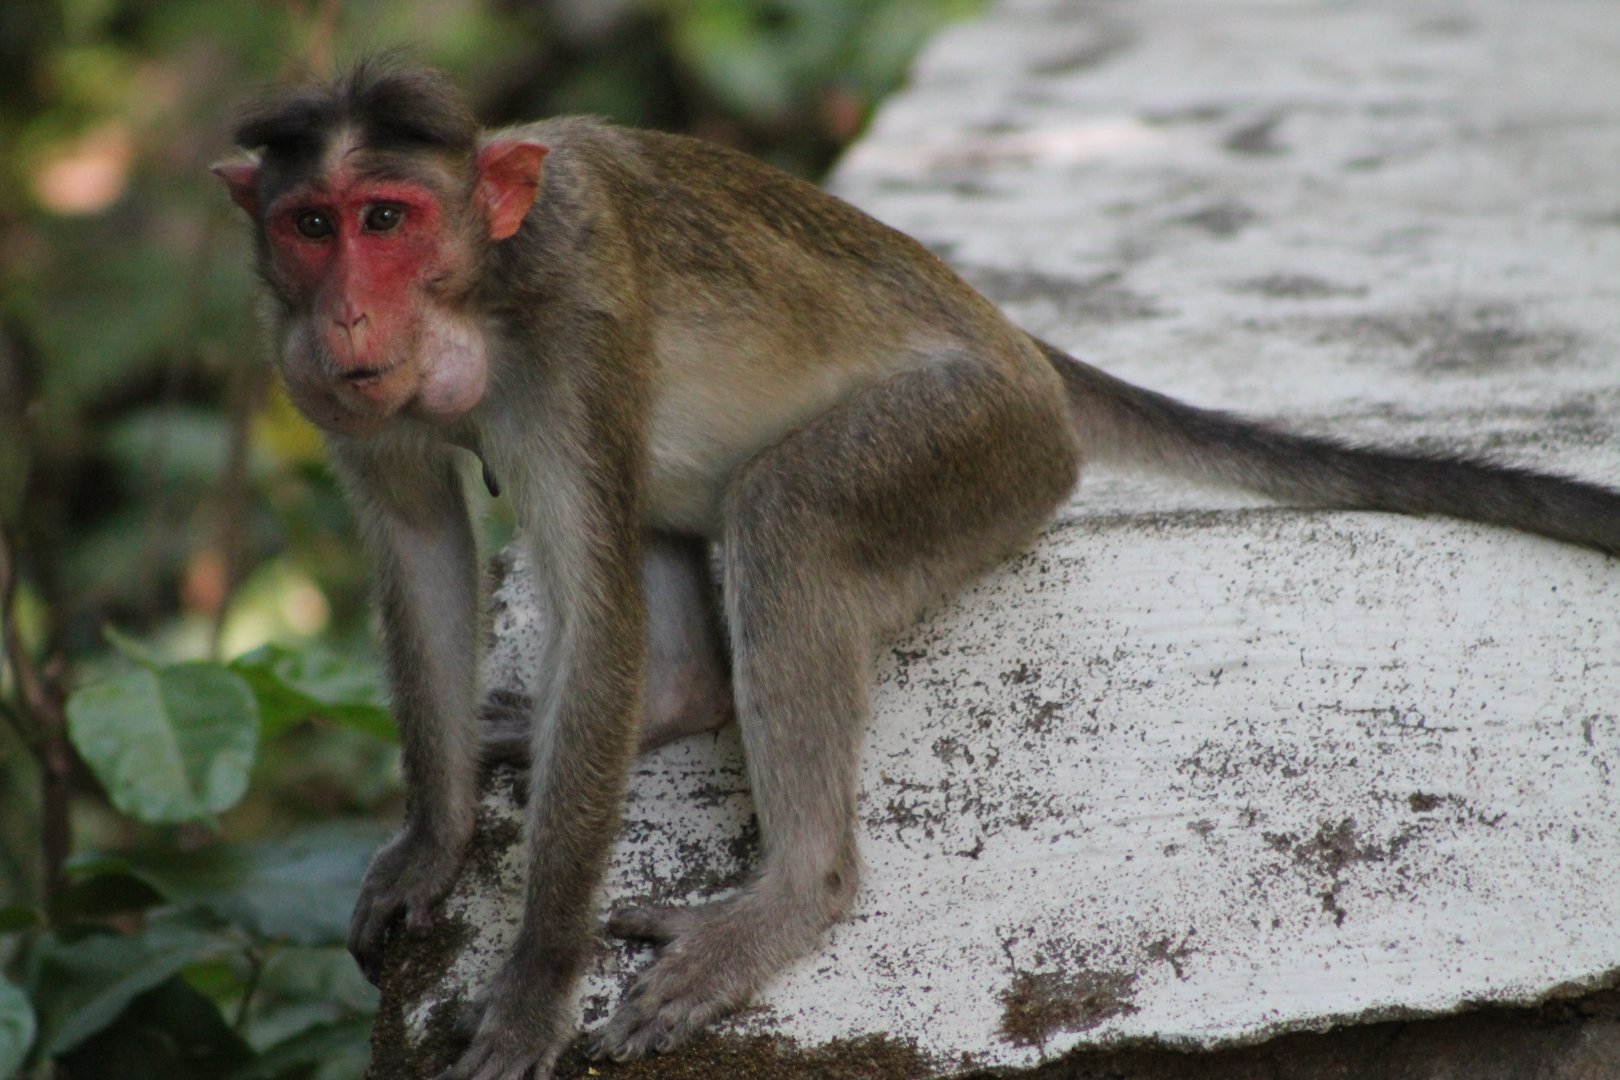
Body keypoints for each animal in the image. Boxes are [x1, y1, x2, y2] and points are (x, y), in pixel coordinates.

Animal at [213, 59, 1620, 1079]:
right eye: (311, 227)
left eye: (388, 221)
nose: (349, 314)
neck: (486, 290)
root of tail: (1019, 348)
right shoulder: (312, 371)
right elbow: (419, 544)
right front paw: (434, 839)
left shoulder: (577, 320)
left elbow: (592, 602)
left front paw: (532, 990)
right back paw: (677, 705)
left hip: (983, 449)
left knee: (787, 516)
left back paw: (799, 892)